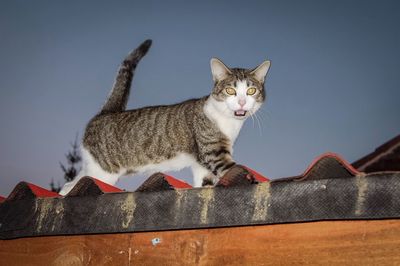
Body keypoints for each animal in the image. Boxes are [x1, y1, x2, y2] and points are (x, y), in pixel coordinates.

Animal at [58, 39, 272, 194]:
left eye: (251, 91)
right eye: (230, 91)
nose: (242, 102)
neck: (229, 122)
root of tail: (107, 112)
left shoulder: (201, 164)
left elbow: (204, 182)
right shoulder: (214, 153)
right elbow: (234, 167)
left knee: (74, 181)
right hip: (103, 172)